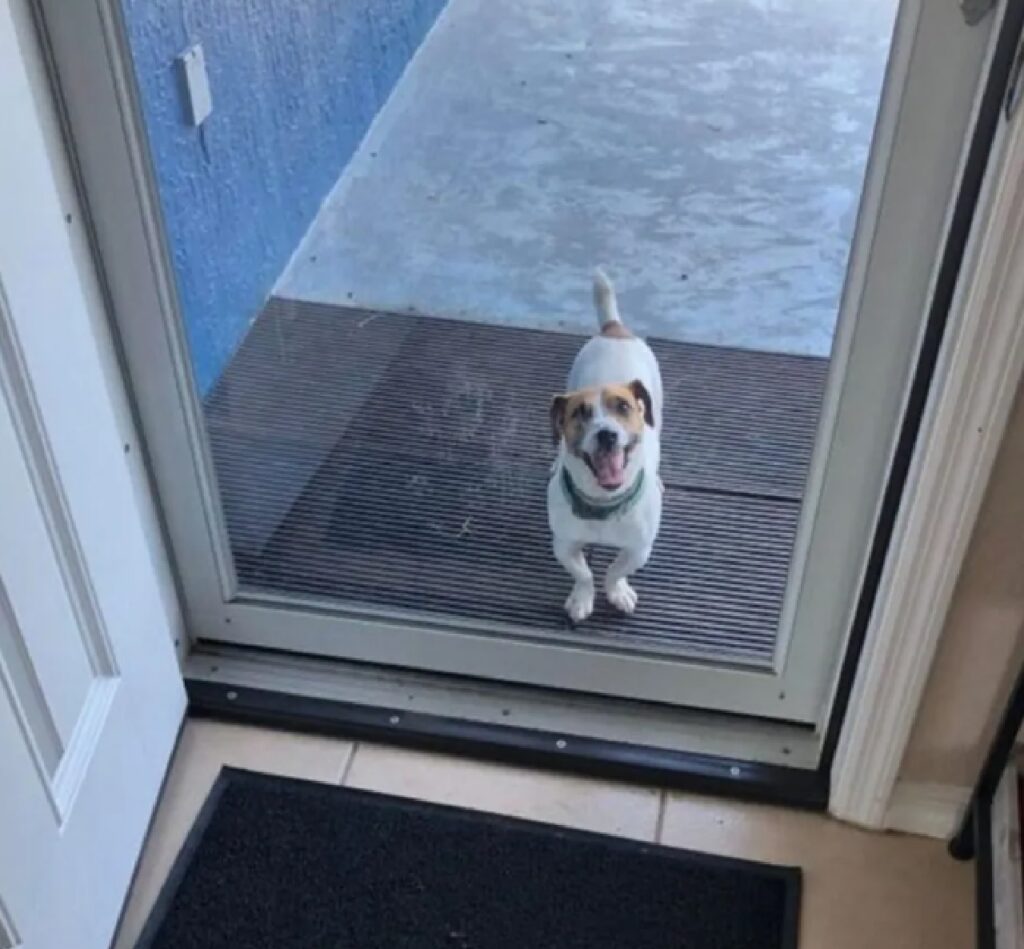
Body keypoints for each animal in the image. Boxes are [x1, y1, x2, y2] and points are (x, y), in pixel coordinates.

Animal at [544, 268, 663, 622]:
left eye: (623, 407)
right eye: (579, 413)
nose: (606, 434)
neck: (602, 506)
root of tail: (614, 328)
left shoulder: (639, 549)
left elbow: (615, 569)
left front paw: (618, 591)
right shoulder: (564, 544)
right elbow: (583, 573)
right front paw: (582, 598)